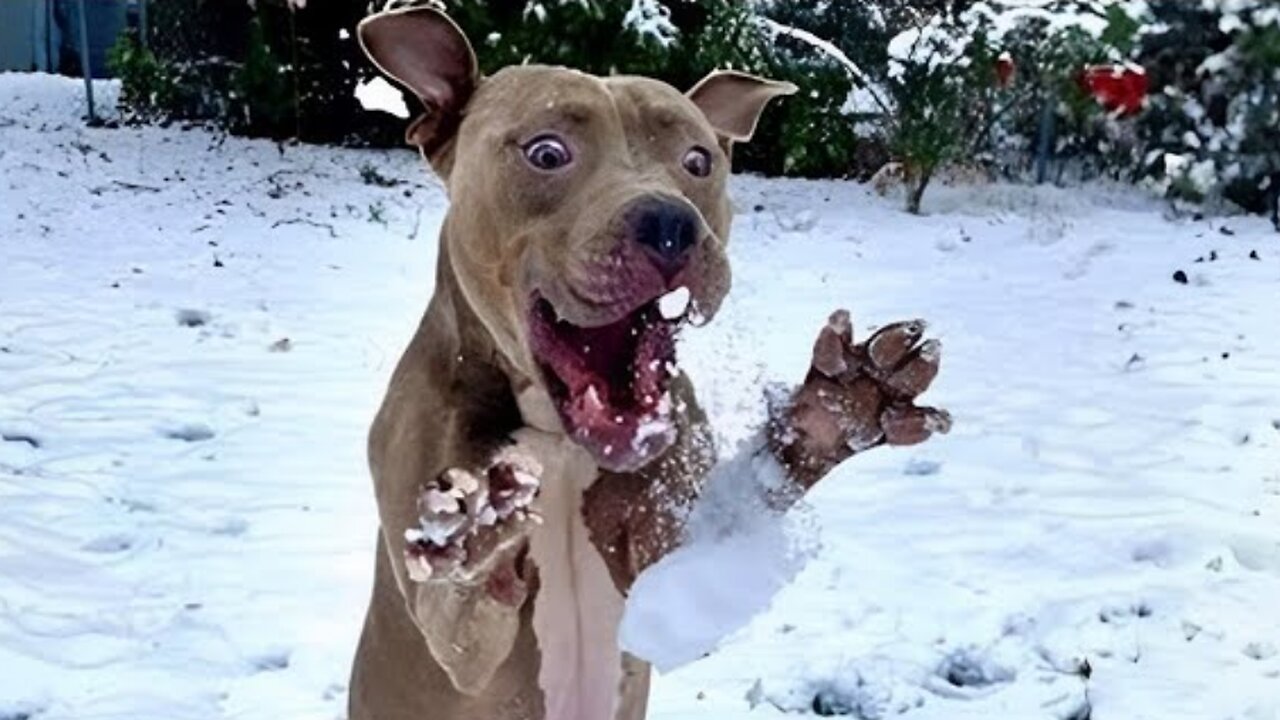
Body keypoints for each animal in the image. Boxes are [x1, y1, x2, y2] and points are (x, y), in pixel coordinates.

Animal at [350, 7, 952, 717]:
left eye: (698, 161)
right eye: (546, 153)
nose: (671, 223)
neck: (559, 439)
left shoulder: (672, 569)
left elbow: (727, 529)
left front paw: (837, 409)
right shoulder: (460, 651)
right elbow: (457, 614)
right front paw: (474, 534)